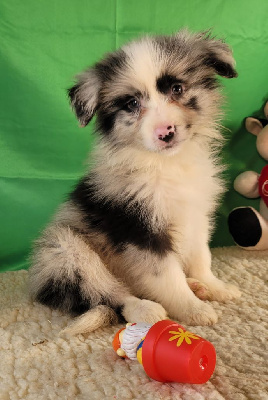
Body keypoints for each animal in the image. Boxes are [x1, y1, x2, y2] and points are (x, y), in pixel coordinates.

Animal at [28, 28, 241, 334]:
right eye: (132, 104)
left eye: (177, 89)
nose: (166, 132)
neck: (166, 165)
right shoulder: (140, 228)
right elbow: (166, 275)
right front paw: (193, 309)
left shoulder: (196, 216)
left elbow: (202, 257)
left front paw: (215, 287)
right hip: (64, 250)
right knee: (109, 293)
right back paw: (147, 308)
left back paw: (197, 286)